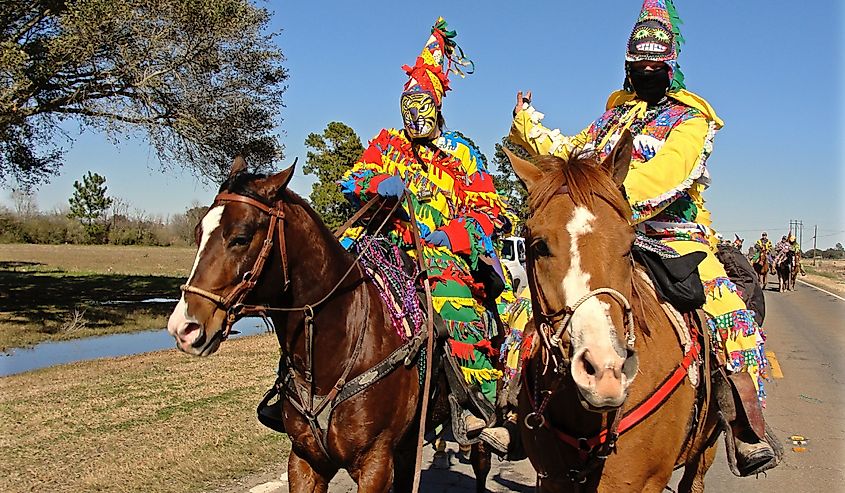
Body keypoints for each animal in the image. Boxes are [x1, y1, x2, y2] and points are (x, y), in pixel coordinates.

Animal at [166, 160, 494, 490]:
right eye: (198, 233)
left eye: (241, 237)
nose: (184, 328)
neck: (334, 352)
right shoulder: (305, 460)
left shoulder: (376, 464)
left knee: (481, 461)